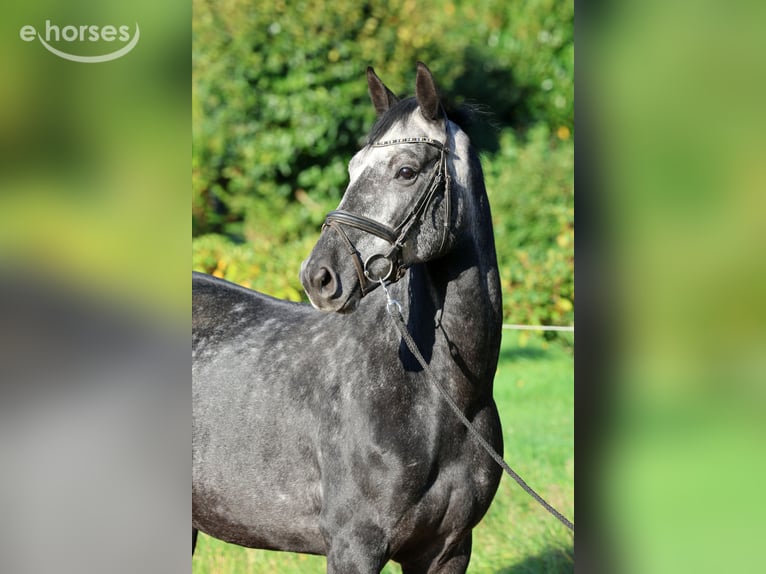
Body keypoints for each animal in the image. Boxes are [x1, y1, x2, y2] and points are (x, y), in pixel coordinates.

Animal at [193, 62, 504, 573]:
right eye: (353, 169)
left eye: (406, 171)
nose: (319, 275)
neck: (442, 397)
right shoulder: (354, 547)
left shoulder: (449, 550)